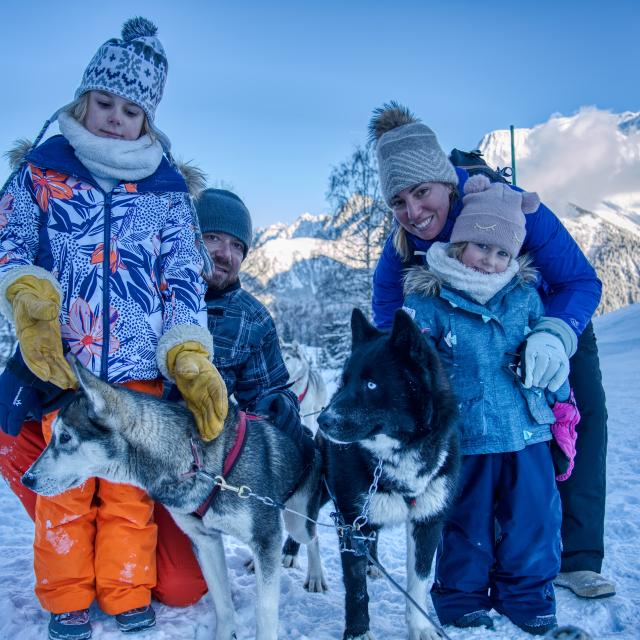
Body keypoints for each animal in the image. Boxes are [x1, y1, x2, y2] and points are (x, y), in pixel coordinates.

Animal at [23, 360, 324, 640]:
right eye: (52, 435)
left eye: (65, 437)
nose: (27, 479)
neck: (195, 461)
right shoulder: (205, 541)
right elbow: (223, 605)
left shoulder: (265, 536)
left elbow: (265, 611)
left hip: (295, 522)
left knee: (313, 536)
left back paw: (316, 576)